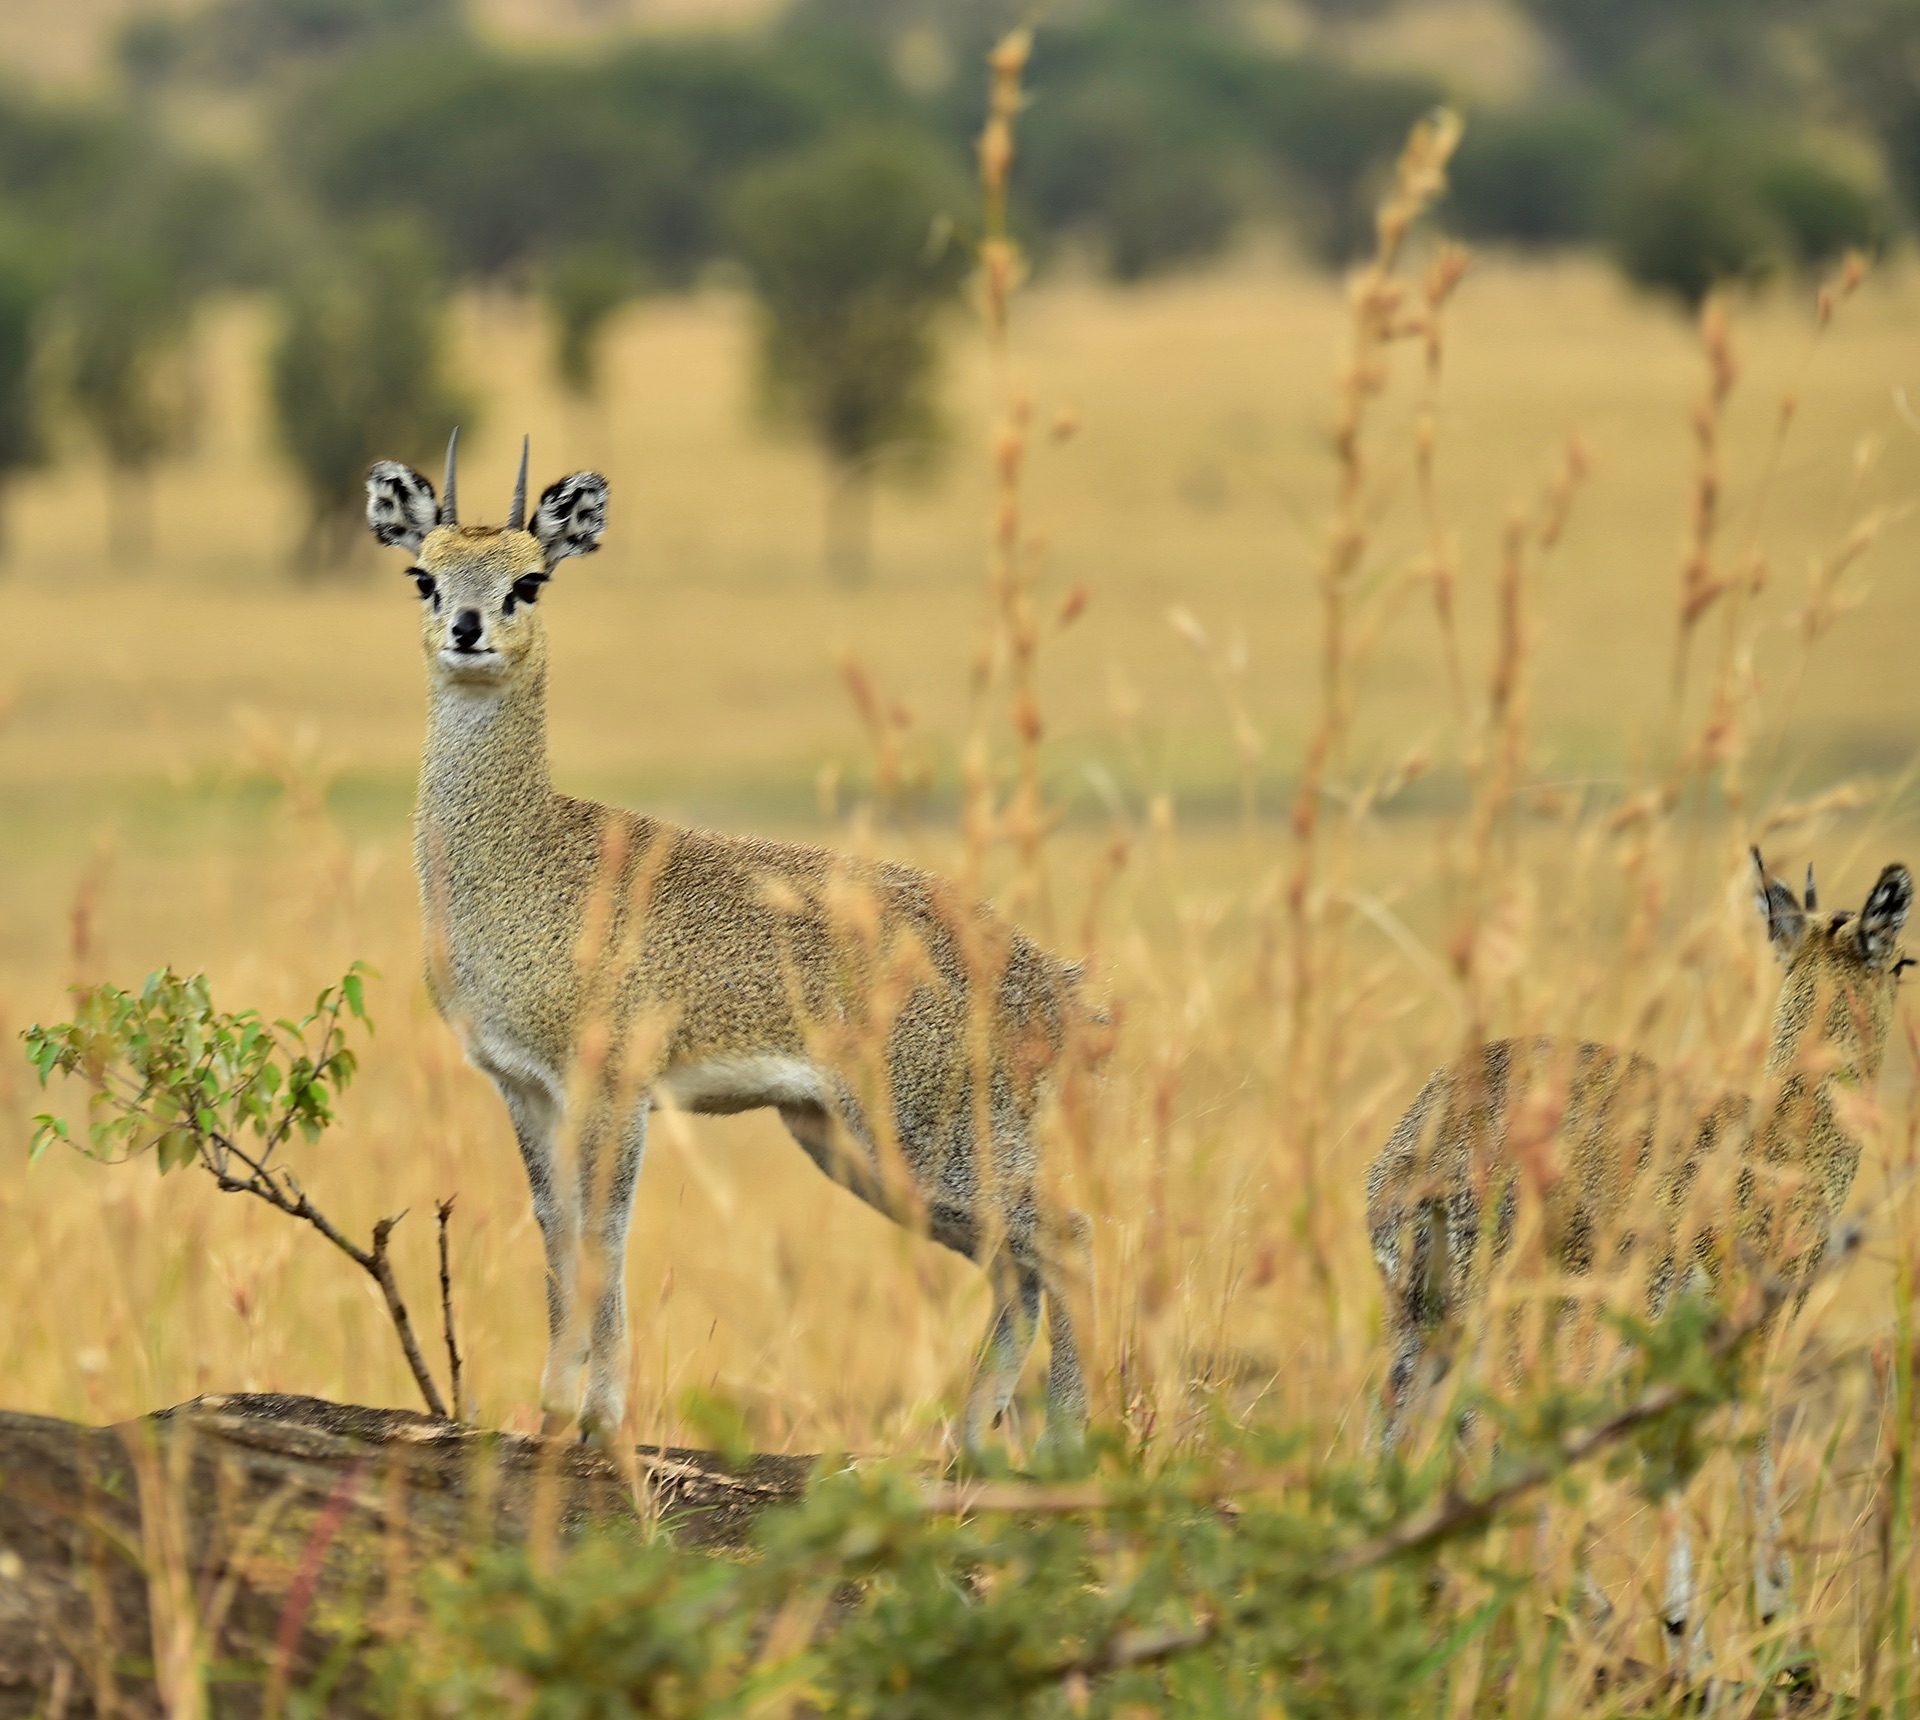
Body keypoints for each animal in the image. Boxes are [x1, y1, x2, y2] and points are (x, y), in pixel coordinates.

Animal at [368, 433, 1105, 1451]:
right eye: (423, 575)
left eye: (530, 581)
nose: (468, 629)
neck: (528, 854)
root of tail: (1047, 979)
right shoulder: (524, 1086)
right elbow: (557, 1230)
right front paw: (553, 1409)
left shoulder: (614, 1086)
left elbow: (605, 1232)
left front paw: (600, 1415)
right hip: (858, 1147)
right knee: (1013, 1265)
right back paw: (965, 1444)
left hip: (926, 1135)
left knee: (1063, 1236)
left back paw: (1063, 1442)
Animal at [1367, 844, 1904, 1666]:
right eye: (1904, 958)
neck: (1787, 1138)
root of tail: (1426, 1142)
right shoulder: (1748, 1334)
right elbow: (1749, 1452)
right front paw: (1777, 1633)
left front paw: (1691, 1641)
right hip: (1533, 1328)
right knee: (1501, 1440)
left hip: (1424, 1327)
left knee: (1394, 1438)